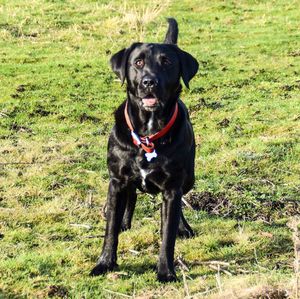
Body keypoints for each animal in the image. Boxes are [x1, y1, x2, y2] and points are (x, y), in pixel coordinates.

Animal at [91, 18, 199, 282]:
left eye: (167, 62)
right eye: (138, 62)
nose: (149, 82)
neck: (149, 135)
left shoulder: (172, 187)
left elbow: (167, 235)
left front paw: (166, 271)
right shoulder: (116, 180)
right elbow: (110, 231)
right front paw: (105, 263)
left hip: (188, 178)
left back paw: (183, 227)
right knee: (130, 197)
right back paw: (123, 221)